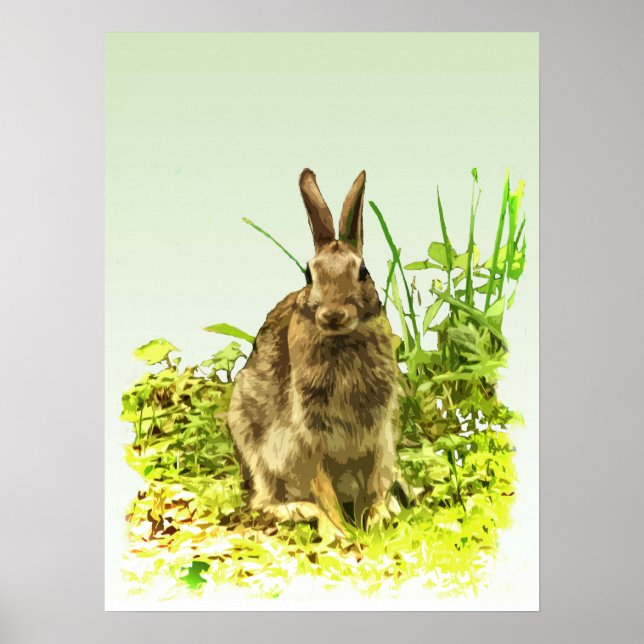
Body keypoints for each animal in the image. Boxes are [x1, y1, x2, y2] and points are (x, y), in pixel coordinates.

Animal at [228, 169, 399, 526]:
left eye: (363, 271)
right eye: (309, 275)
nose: (333, 315)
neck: (341, 342)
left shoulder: (376, 439)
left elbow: (373, 484)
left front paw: (375, 519)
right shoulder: (308, 442)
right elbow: (323, 490)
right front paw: (340, 531)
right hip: (250, 442)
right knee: (262, 500)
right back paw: (302, 511)